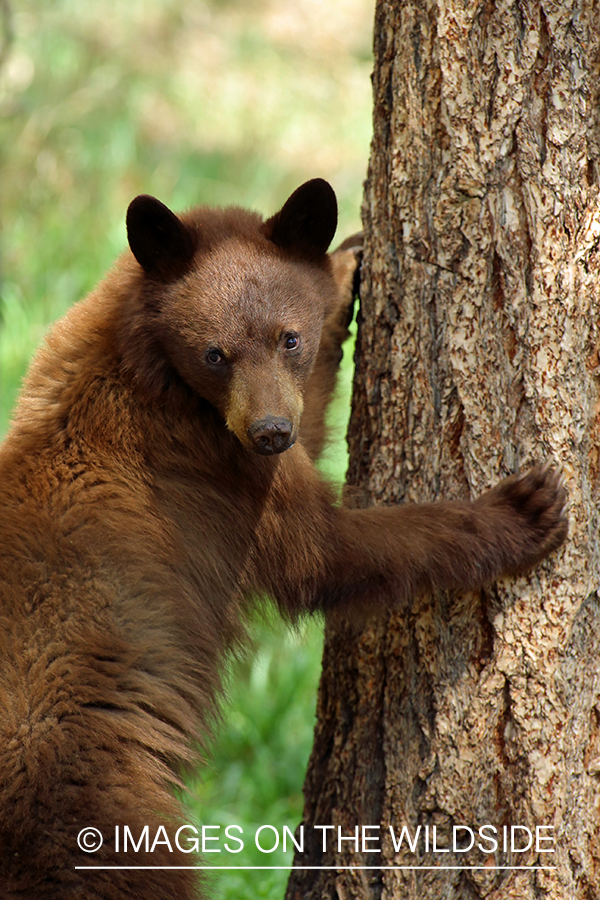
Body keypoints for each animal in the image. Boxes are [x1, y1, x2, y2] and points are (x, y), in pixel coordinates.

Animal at [0, 179, 564, 896]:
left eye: (288, 338)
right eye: (215, 354)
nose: (270, 430)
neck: (145, 358)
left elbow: (313, 421)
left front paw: (346, 266)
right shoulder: (225, 468)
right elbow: (329, 552)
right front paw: (521, 513)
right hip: (97, 808)